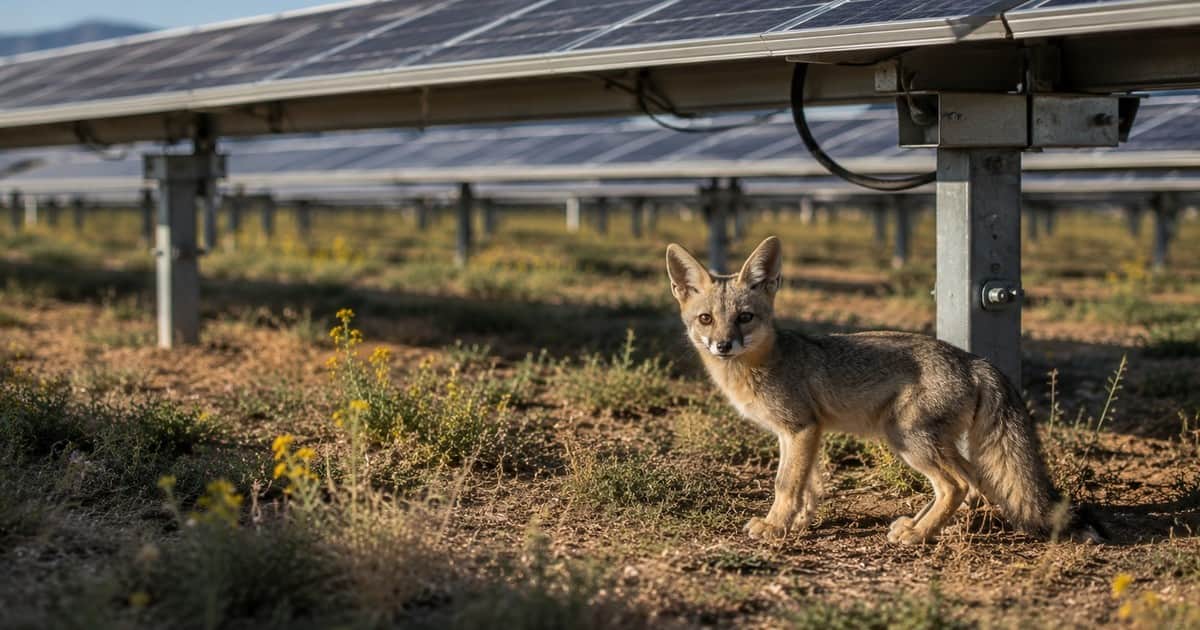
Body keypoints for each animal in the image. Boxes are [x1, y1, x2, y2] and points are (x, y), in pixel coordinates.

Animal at [665, 235, 1102, 544]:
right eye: (706, 319)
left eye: (745, 318)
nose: (723, 345)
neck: (763, 364)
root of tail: (972, 359)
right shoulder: (808, 432)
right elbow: (809, 485)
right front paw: (801, 522)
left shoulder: (799, 429)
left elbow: (786, 484)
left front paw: (775, 526)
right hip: (927, 443)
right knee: (972, 482)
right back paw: (936, 527)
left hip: (906, 439)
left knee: (957, 485)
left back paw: (920, 534)